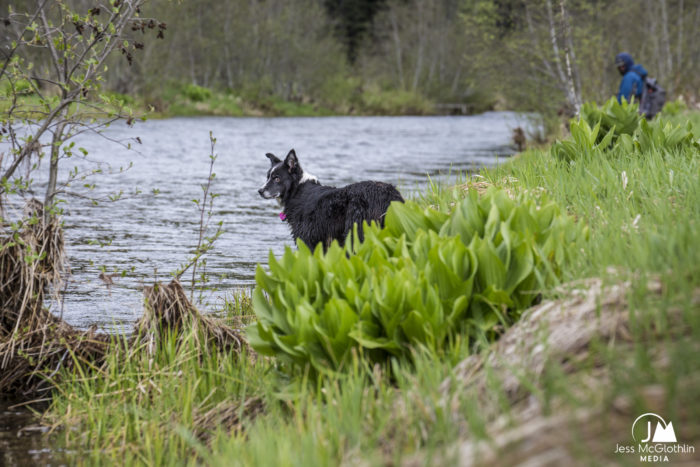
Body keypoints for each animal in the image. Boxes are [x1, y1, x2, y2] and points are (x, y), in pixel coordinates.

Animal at [258, 152, 404, 250]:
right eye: (267, 177)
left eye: (277, 178)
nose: (259, 191)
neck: (297, 190)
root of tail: (390, 195)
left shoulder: (307, 239)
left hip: (356, 231)